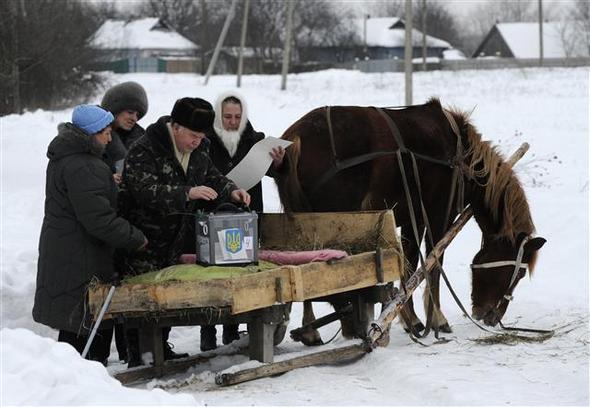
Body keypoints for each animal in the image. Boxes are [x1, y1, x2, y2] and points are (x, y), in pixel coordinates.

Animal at [278, 99, 552, 344]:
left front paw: (408, 318)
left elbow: (409, 266)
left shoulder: (413, 220)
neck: (462, 159)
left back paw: (312, 330)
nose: (491, 316)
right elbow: (431, 266)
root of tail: (295, 138)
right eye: (518, 274)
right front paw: (434, 320)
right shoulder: (437, 219)